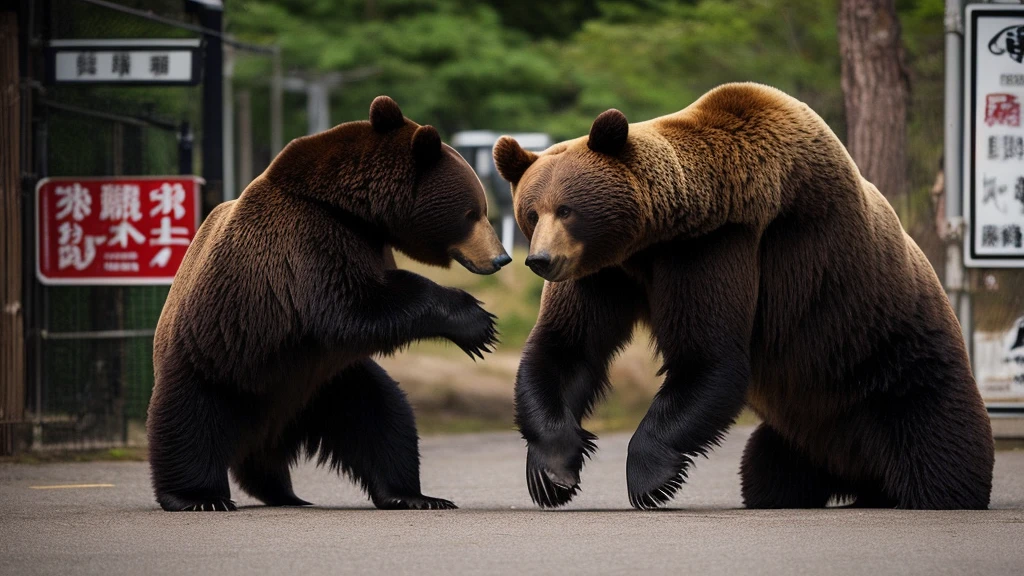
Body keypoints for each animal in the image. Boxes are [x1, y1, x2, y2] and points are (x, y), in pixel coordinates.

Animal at [146, 95, 509, 510]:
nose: (500, 258)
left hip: (325, 383)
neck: (355, 214)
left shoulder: (365, 248)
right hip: (220, 359)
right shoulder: (305, 246)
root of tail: (270, 430)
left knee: (384, 420)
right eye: (473, 212)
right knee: (190, 424)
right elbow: (352, 308)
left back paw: (403, 494)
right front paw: (477, 324)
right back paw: (199, 495)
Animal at [491, 80, 995, 506]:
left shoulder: (719, 246)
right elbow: (568, 348)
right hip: (806, 428)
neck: (652, 237)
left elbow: (709, 359)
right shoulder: (605, 271)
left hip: (887, 356)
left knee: (938, 445)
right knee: (769, 467)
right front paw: (552, 471)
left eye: (567, 210)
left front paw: (650, 478)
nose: (541, 260)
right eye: (532, 212)